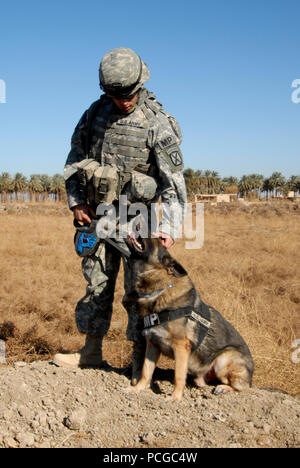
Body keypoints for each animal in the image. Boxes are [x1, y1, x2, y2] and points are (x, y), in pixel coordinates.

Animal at [124, 236, 253, 400]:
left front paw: (175, 398)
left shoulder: (181, 347)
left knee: (242, 388)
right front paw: (137, 389)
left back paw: (224, 388)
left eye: (158, 239)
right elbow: (146, 372)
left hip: (223, 360)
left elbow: (178, 376)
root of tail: (251, 375)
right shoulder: (152, 344)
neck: (160, 289)